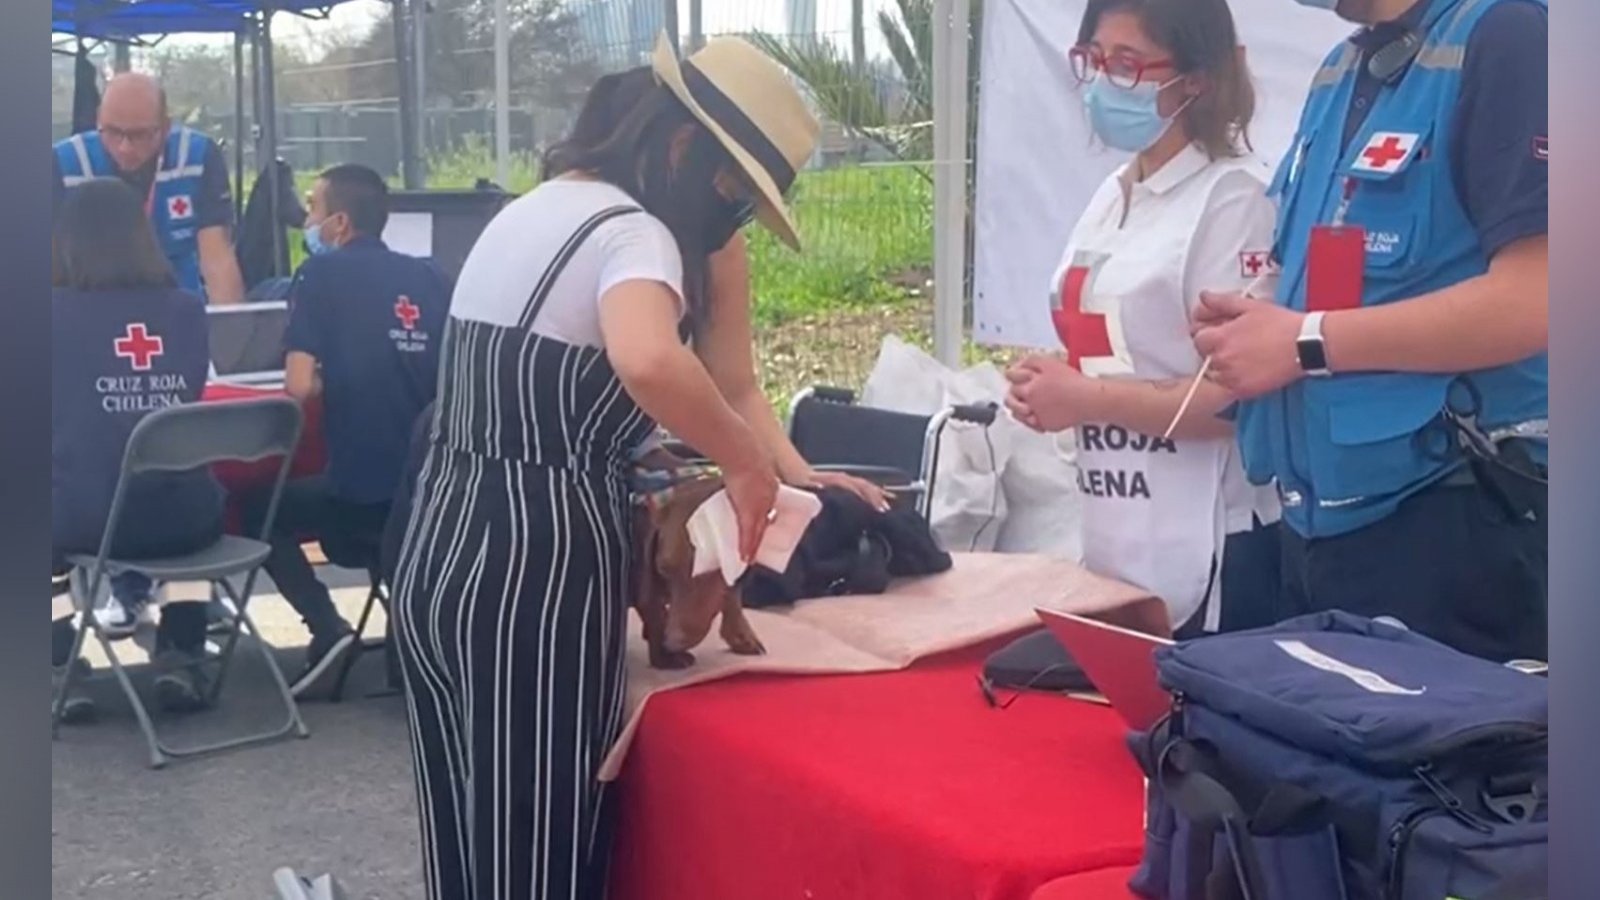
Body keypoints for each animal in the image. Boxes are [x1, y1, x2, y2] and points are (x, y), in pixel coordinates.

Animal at [630, 470, 768, 666]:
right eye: (663, 569)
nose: (671, 642)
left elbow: (732, 599)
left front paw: (741, 636)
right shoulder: (646, 588)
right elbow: (654, 612)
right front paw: (664, 657)